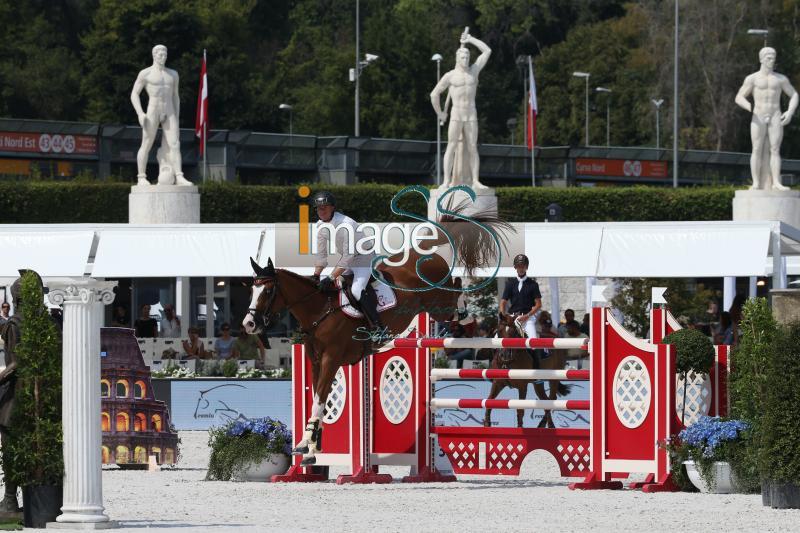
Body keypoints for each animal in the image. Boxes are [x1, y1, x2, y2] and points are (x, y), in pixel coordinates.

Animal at [241, 206, 512, 464]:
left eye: (268, 291)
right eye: (251, 290)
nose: (249, 324)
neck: (319, 310)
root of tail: (424, 253)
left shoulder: (331, 359)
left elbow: (319, 400)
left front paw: (307, 446)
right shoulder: (316, 361)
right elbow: (319, 400)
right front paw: (310, 448)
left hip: (438, 304)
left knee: (457, 288)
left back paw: (469, 323)